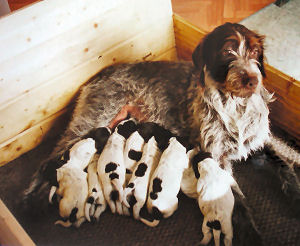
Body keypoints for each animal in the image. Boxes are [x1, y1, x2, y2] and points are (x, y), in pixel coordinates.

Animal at [24, 22, 300, 242]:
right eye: (227, 51)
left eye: (254, 52)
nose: (251, 79)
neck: (236, 106)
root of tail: (96, 77)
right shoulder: (217, 159)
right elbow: (237, 201)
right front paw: (251, 233)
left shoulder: (259, 142)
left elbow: (284, 165)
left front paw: (295, 193)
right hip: (92, 121)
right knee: (50, 160)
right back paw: (32, 203)